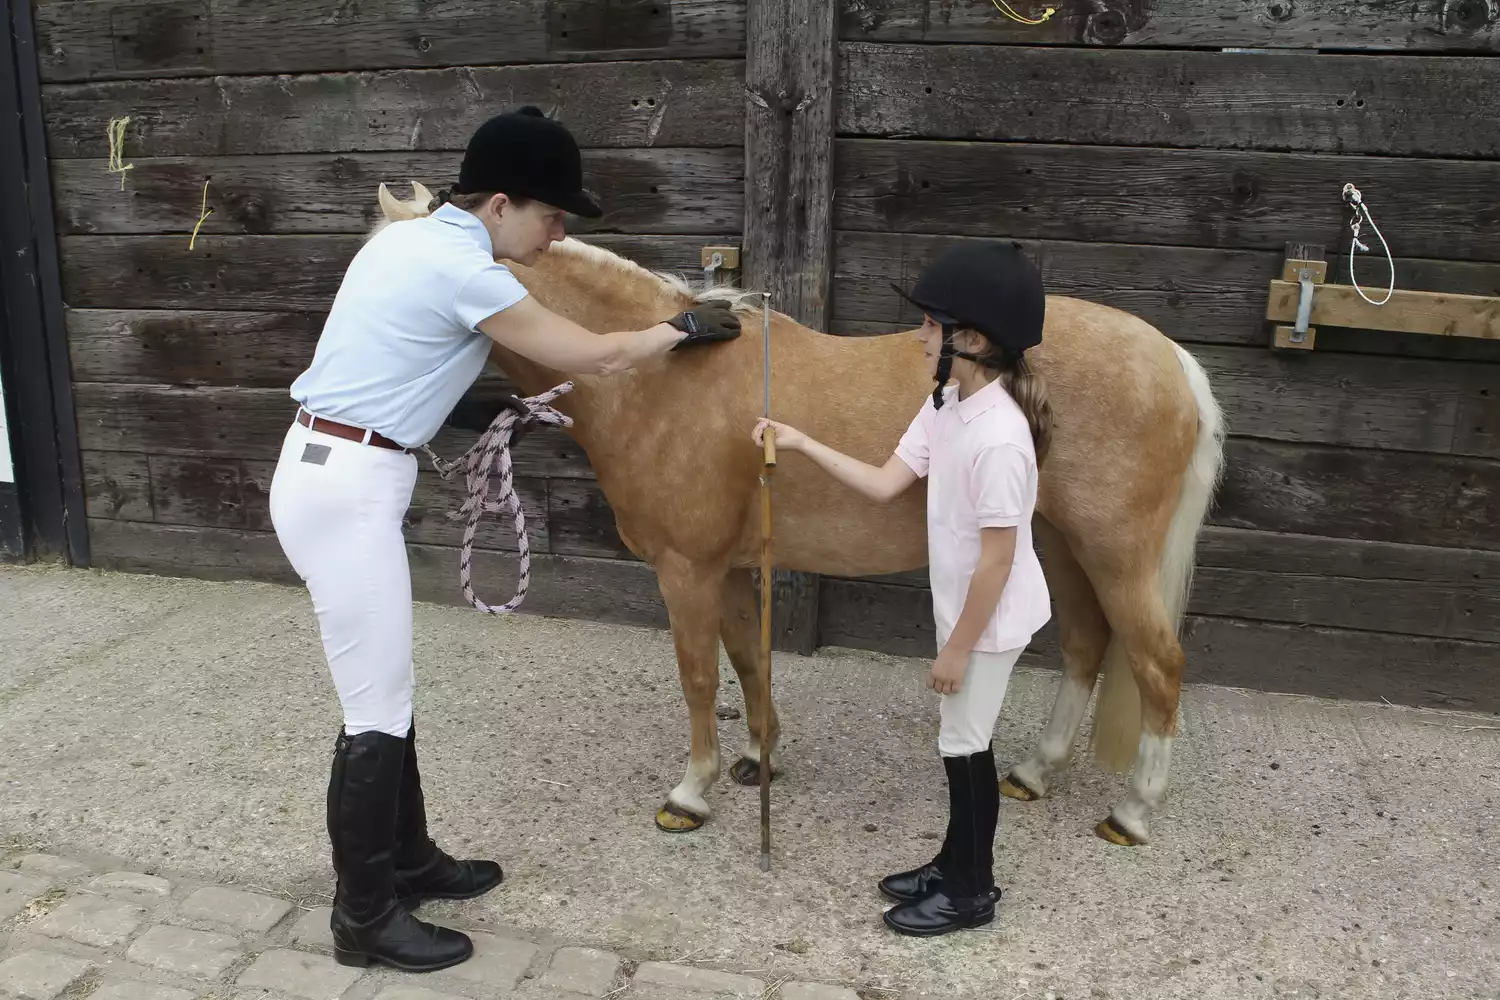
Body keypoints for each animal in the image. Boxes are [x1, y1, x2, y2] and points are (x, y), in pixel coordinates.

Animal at [372, 182, 1218, 845]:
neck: (661, 379)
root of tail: (1173, 361)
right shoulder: (730, 568)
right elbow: (749, 661)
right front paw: (759, 759)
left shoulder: (686, 571)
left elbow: (698, 676)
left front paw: (692, 792)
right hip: (1060, 541)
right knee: (1084, 645)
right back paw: (1037, 772)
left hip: (1115, 552)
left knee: (1159, 664)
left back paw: (1133, 811)